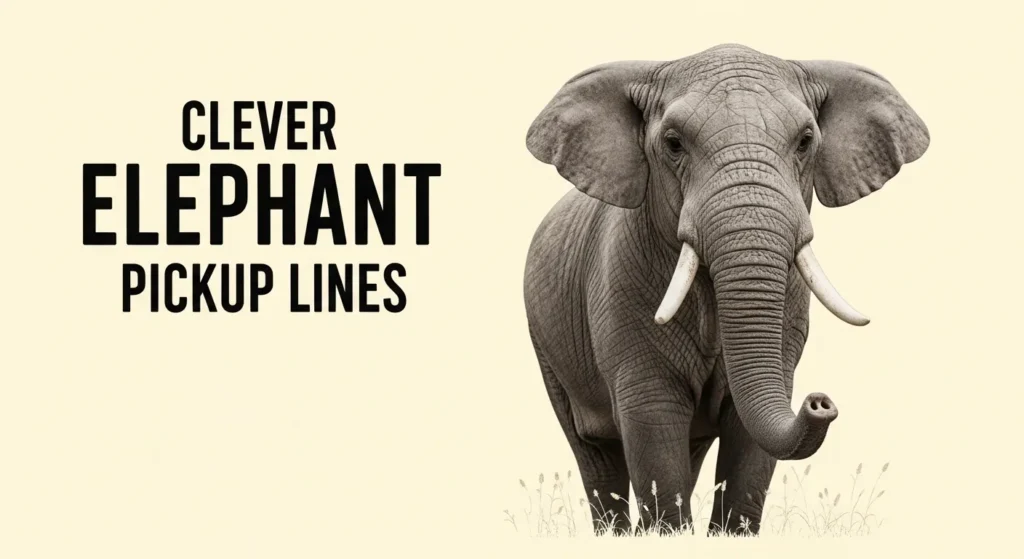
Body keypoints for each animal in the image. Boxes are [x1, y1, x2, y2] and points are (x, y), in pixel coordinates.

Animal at [522, 44, 928, 535]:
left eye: (805, 141)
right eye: (673, 143)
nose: (819, 402)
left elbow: (748, 448)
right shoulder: (617, 287)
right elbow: (653, 425)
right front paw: (668, 536)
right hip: (545, 341)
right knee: (595, 456)